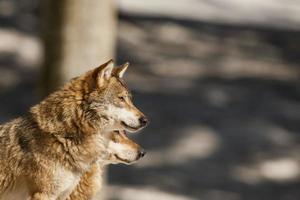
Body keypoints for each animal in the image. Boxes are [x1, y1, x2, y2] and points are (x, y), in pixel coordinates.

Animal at [0, 59, 149, 200]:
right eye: (121, 98)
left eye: (130, 99)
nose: (145, 120)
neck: (62, 137)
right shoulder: (42, 194)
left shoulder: (63, 194)